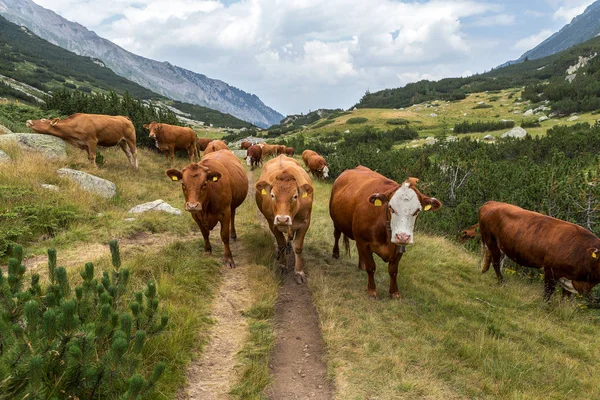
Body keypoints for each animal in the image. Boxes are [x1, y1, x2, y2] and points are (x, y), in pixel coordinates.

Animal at [328, 167, 440, 298]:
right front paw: (372, 290)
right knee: (337, 235)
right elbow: (371, 267)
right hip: (336, 222)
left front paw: (394, 292)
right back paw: (336, 253)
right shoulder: (364, 242)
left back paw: (361, 264)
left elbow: (393, 271)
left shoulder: (399, 248)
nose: (402, 237)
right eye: (391, 207)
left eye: (417, 210)